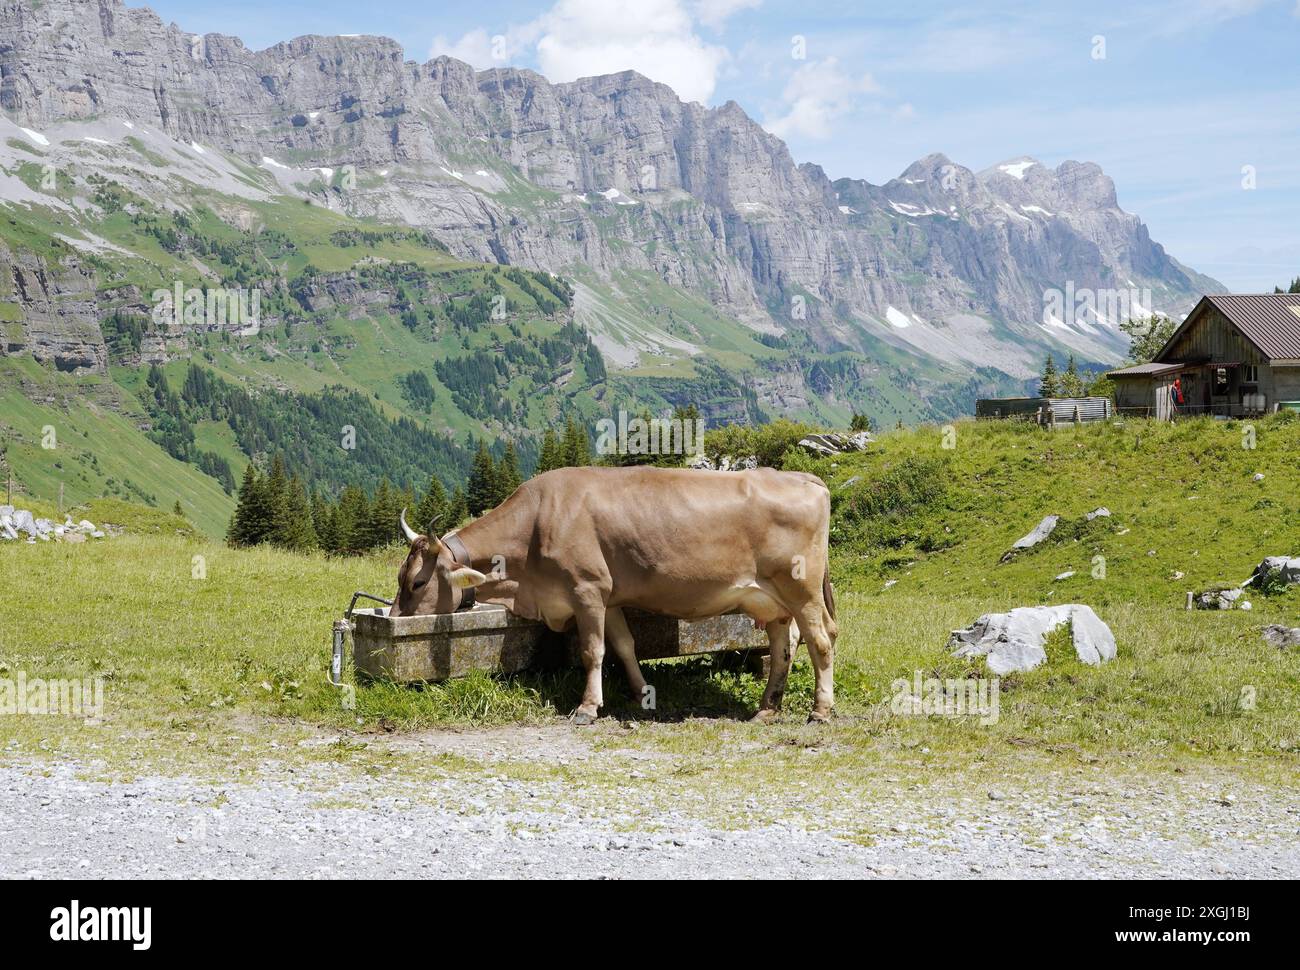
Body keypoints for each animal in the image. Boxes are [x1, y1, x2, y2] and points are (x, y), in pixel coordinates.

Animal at [390, 465, 837, 724]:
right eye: (400, 576)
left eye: (417, 583)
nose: (394, 617)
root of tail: (803, 477)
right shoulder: (612, 597)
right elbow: (623, 645)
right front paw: (641, 693)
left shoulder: (587, 589)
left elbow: (593, 650)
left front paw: (588, 707)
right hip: (769, 598)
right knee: (784, 644)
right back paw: (767, 707)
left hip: (801, 587)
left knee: (820, 640)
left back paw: (820, 711)